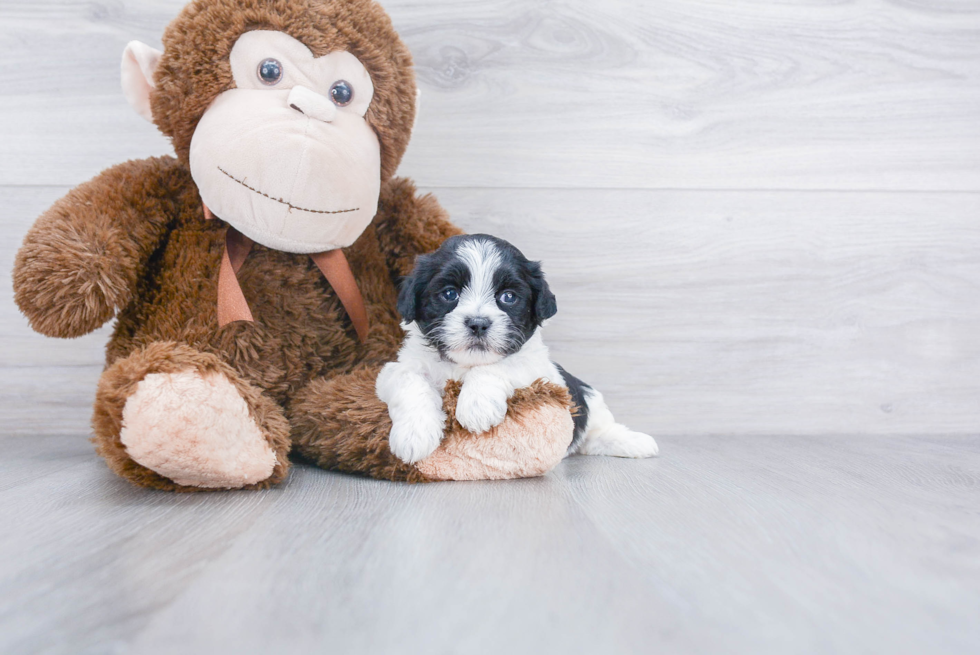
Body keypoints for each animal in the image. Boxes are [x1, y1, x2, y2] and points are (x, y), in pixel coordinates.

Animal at [376, 233, 660, 464]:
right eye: (449, 294)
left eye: (508, 297)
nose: (478, 323)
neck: (465, 365)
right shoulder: (392, 371)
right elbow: (409, 380)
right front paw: (414, 434)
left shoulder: (537, 372)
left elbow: (500, 365)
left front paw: (477, 405)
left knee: (600, 431)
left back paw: (636, 442)